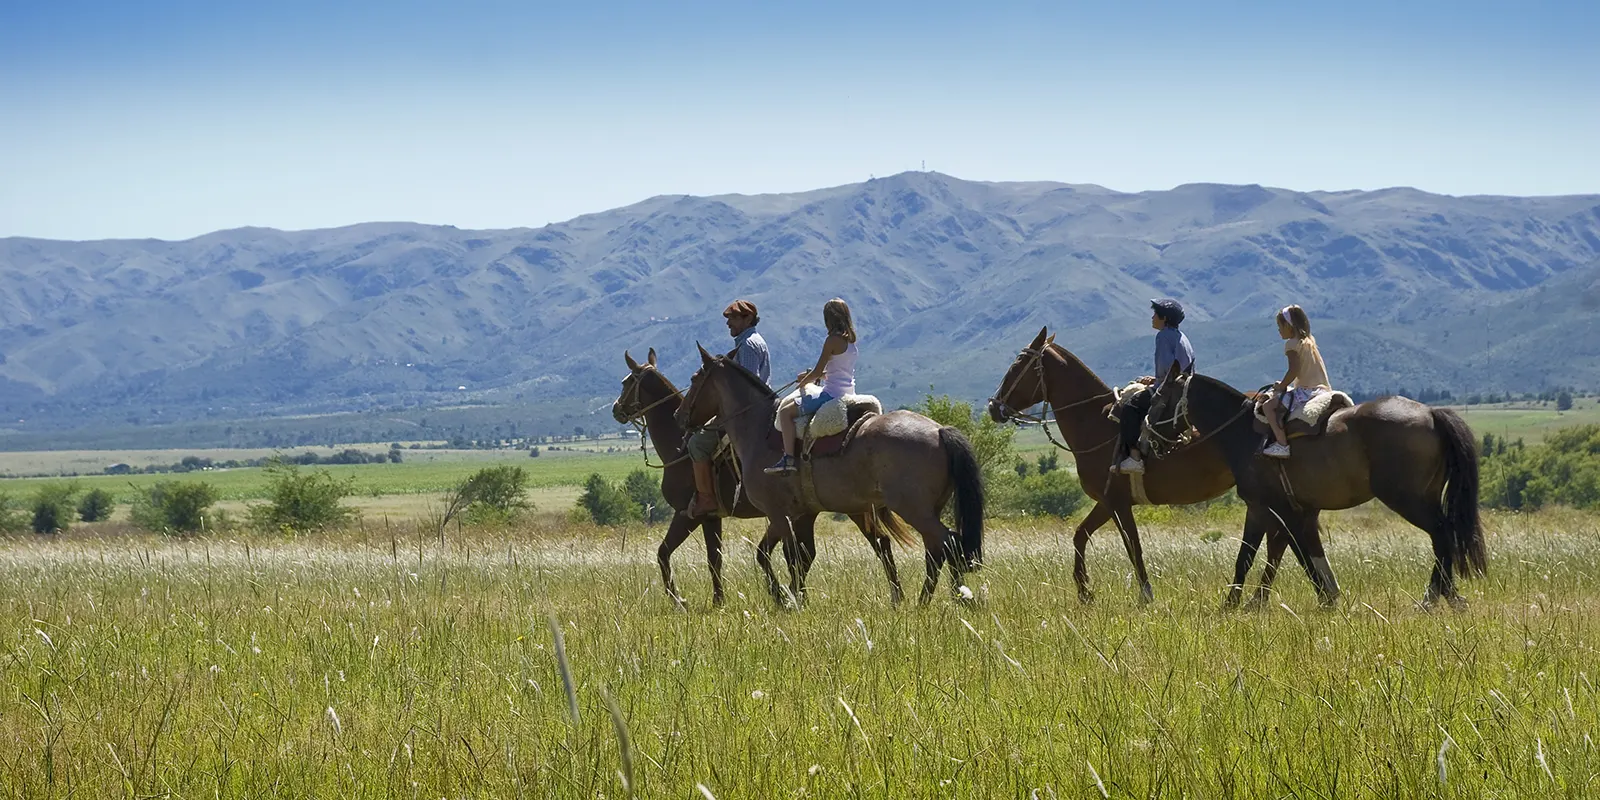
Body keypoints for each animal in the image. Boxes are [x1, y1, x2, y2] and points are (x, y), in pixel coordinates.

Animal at [608, 350, 915, 604]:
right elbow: (714, 558)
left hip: (846, 508)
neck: (679, 447)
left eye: (627, 382)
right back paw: (894, 595)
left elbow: (665, 553)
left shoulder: (689, 514)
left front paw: (679, 601)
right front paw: (719, 601)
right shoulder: (713, 517)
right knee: (872, 543)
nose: (616, 408)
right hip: (838, 509)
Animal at [678, 345, 985, 604]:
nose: (678, 416)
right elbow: (794, 556)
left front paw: (783, 598)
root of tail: (939, 430)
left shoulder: (778, 513)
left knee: (948, 543)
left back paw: (955, 597)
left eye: (695, 378)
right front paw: (795, 598)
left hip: (913, 509)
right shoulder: (802, 514)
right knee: (935, 549)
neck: (758, 429)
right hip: (924, 510)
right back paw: (926, 600)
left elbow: (775, 555)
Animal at [985, 324, 1235, 601]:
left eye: (1018, 365)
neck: (1094, 421)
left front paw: (1145, 594)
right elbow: (1080, 535)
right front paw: (1084, 590)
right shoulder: (1105, 502)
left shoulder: (1118, 503)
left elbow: (1133, 546)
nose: (993, 407)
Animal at [1145, 364, 1478, 604]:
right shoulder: (1292, 511)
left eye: (1158, 399)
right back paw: (1445, 594)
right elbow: (1292, 555)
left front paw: (1232, 604)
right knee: (1444, 535)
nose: (1148, 441)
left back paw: (1435, 596)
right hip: (1426, 496)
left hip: (1407, 499)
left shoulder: (1267, 508)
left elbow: (1263, 556)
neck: (1244, 433)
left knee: (1441, 533)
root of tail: (1431, 412)